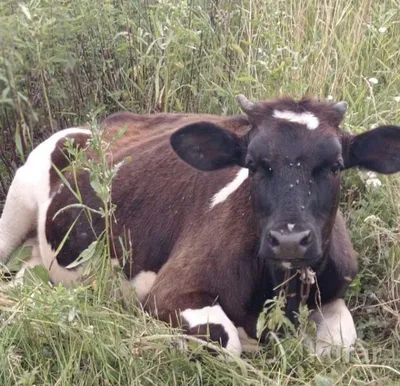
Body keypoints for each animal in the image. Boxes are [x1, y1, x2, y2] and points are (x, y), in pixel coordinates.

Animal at [0, 95, 400, 356]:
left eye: (335, 166)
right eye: (252, 163)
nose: (289, 240)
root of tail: (92, 126)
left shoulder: (334, 290)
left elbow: (338, 345)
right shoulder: (168, 293)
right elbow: (226, 340)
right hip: (17, 205)